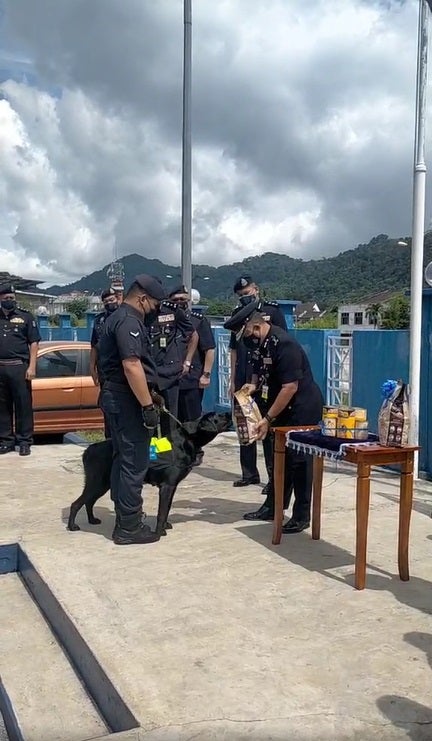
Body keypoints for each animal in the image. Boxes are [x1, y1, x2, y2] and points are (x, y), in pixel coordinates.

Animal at [66, 410, 233, 536]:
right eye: (219, 415)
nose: (228, 412)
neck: (188, 440)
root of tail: (89, 449)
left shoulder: (172, 487)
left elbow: (167, 509)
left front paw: (165, 526)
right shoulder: (167, 486)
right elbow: (162, 512)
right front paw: (160, 532)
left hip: (103, 484)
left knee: (88, 502)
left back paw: (92, 520)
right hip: (97, 482)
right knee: (76, 503)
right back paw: (72, 526)